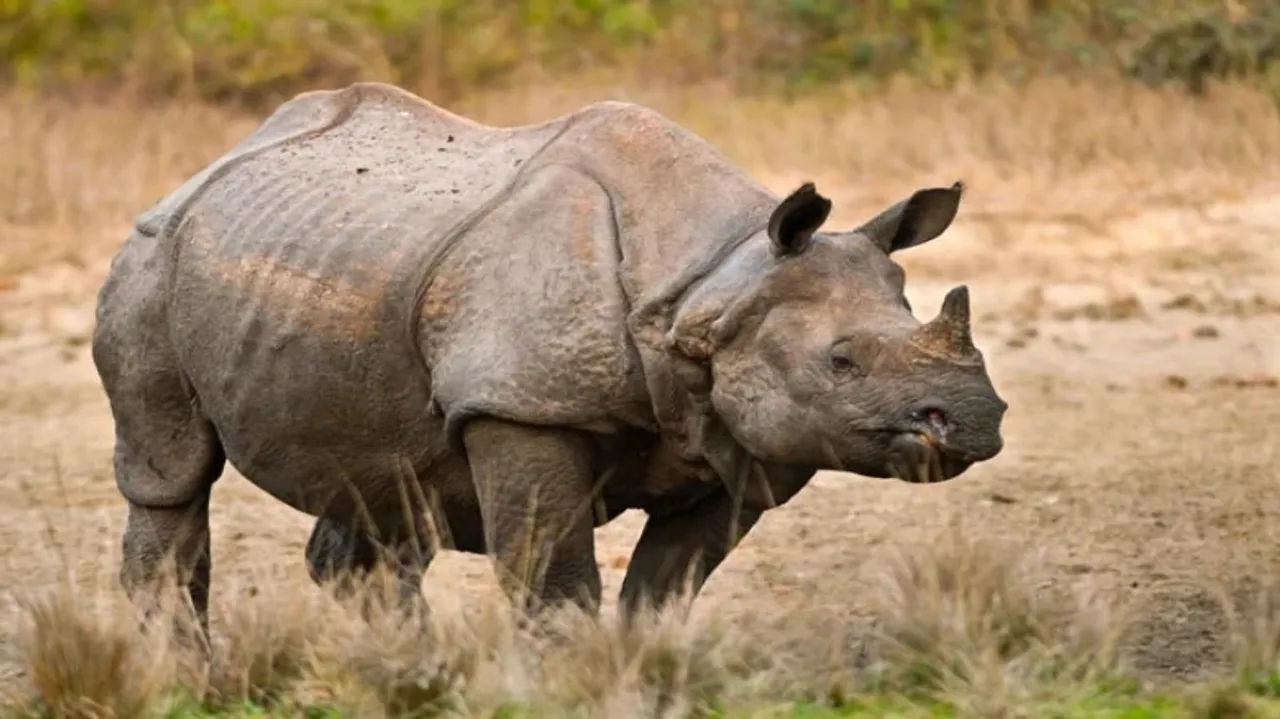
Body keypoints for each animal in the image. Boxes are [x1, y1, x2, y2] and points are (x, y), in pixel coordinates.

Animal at [91, 81, 1007, 633]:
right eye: (842, 362)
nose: (976, 420)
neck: (715, 278)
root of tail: (203, 173)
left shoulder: (740, 441)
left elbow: (663, 592)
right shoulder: (522, 405)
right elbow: (554, 586)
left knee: (383, 494)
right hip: (149, 264)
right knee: (172, 473)